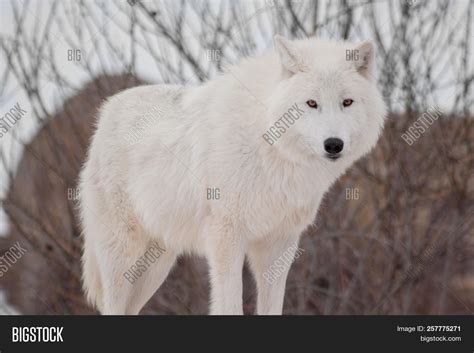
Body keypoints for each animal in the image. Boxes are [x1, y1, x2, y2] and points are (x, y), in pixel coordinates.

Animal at [79, 35, 386, 314]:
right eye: (311, 103)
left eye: (347, 102)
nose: (333, 144)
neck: (269, 144)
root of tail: (107, 111)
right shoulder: (226, 236)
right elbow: (229, 305)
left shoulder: (279, 245)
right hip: (123, 257)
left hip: (156, 264)